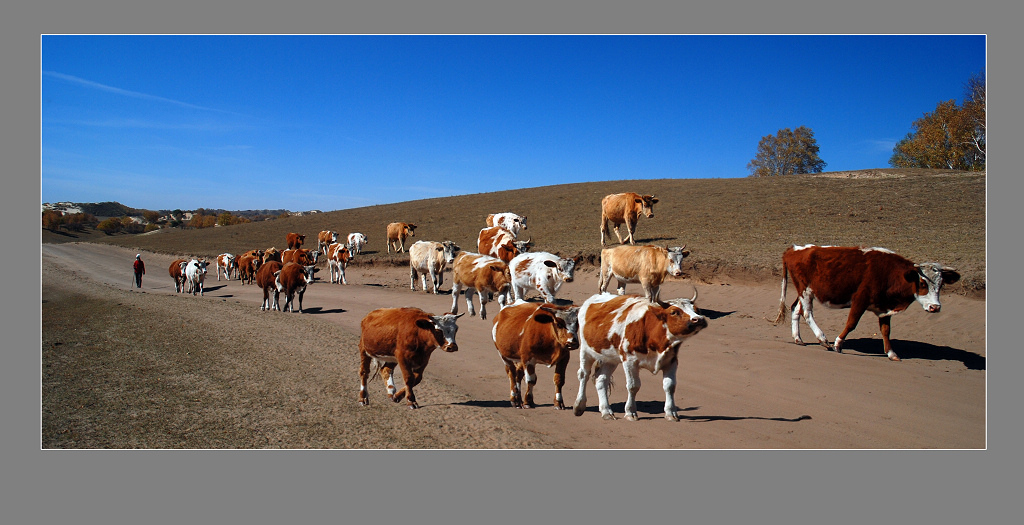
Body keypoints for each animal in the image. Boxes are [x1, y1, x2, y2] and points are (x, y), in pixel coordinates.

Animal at [573, 290, 708, 421]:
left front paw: (671, 412)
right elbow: (633, 386)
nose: (699, 319)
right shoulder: (629, 360)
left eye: (697, 310)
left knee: (601, 379)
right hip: (586, 351)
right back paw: (579, 405)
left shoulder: (671, 361)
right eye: (674, 312)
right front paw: (630, 412)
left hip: (610, 359)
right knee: (583, 375)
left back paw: (606, 411)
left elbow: (670, 386)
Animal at [774, 244, 958, 360]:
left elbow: (886, 331)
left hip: (806, 291)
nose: (935, 307)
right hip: (805, 290)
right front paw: (838, 344)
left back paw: (798, 338)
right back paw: (823, 339)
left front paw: (891, 353)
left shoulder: (884, 307)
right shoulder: (860, 300)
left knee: (796, 309)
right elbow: (851, 323)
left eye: (941, 285)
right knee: (807, 313)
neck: (890, 274)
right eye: (922, 283)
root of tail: (794, 249)